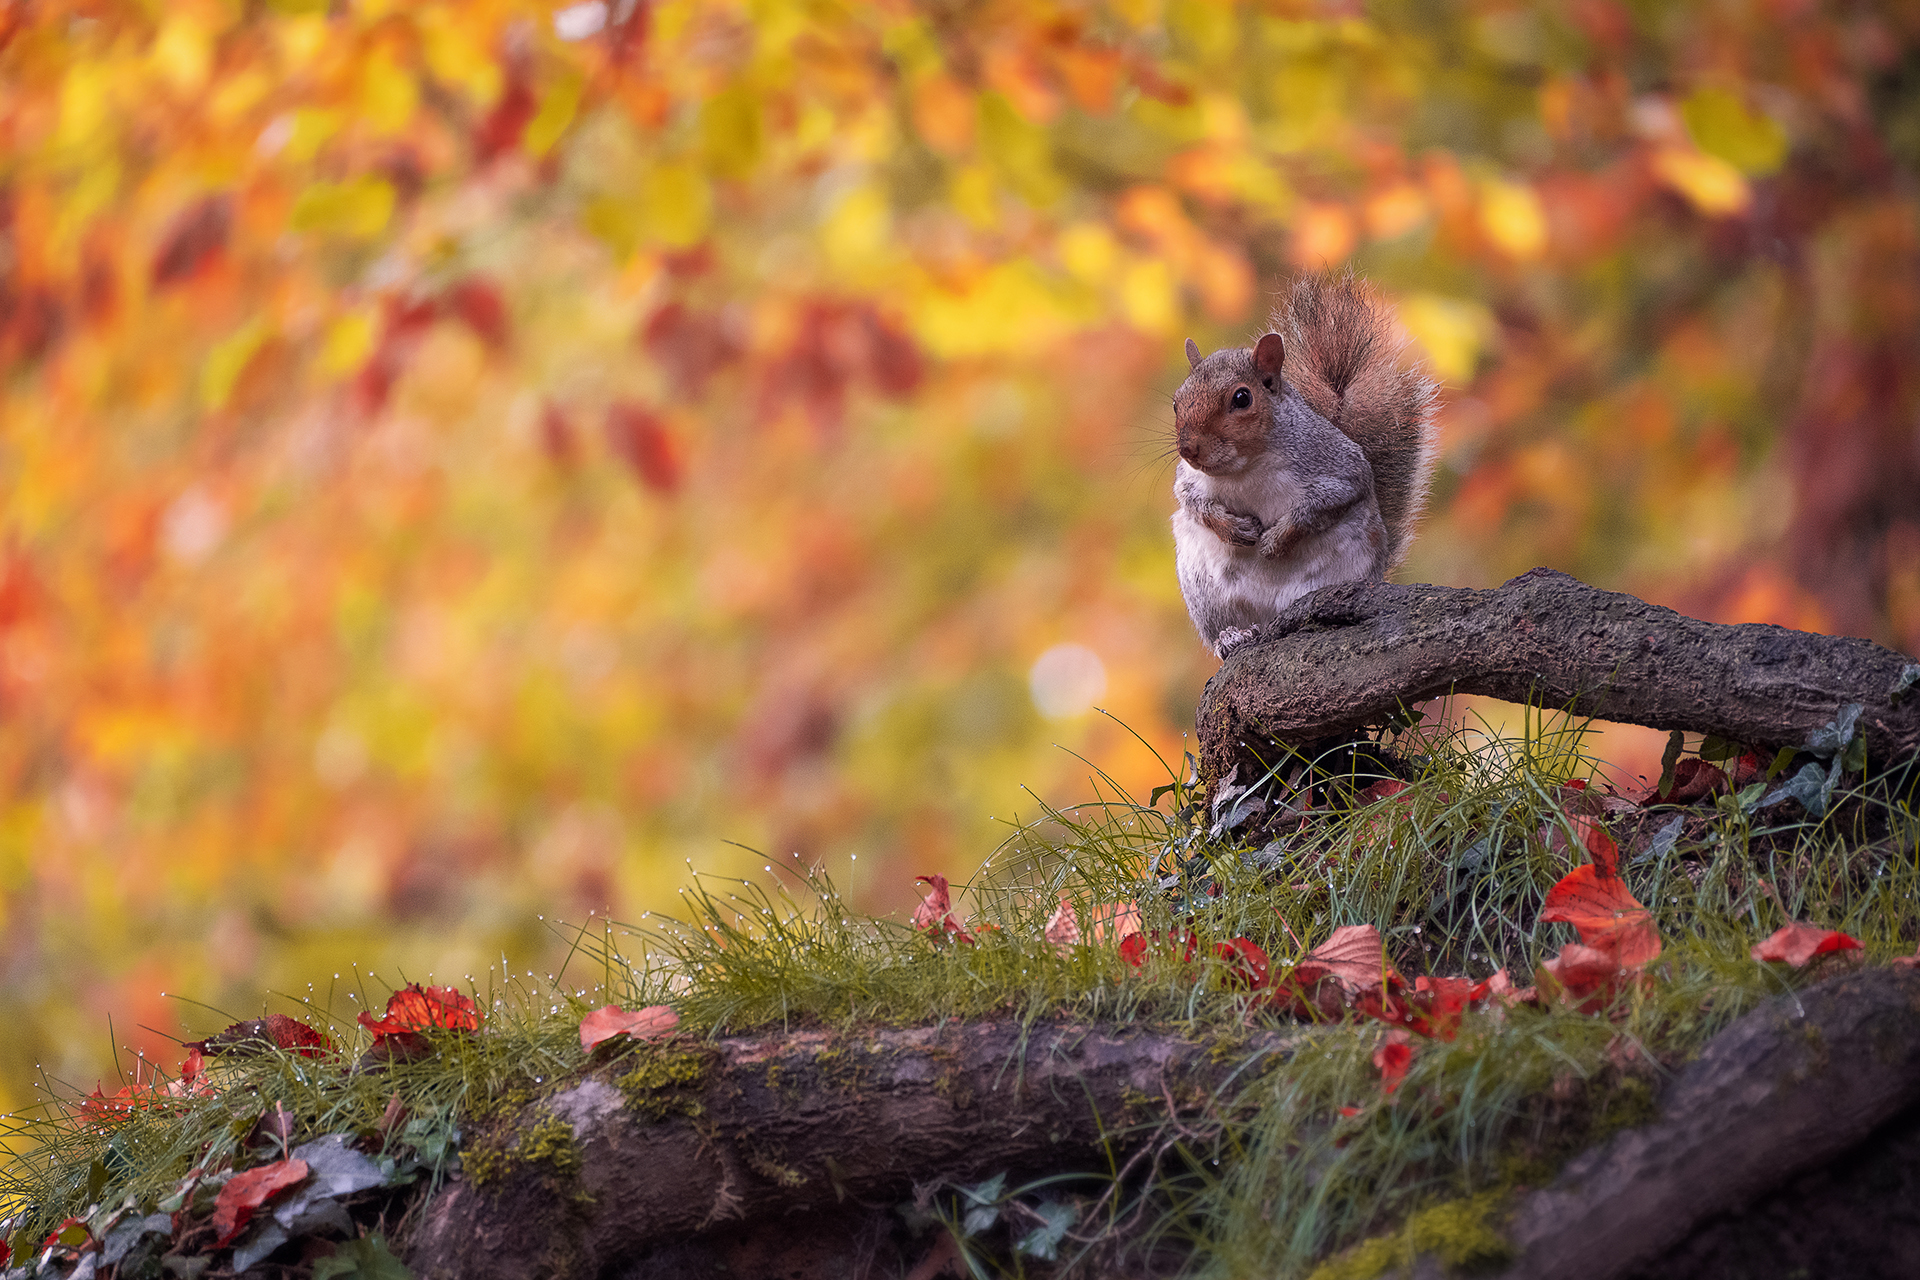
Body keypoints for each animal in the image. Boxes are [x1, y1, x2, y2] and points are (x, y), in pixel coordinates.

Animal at [1172, 273, 1438, 657]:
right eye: (1177, 403)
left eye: (1242, 398)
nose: (1188, 449)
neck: (1244, 468)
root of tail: (1269, 619)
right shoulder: (1189, 480)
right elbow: (1193, 502)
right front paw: (1234, 528)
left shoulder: (1339, 466)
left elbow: (1324, 504)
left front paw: (1275, 540)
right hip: (1205, 594)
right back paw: (1233, 637)